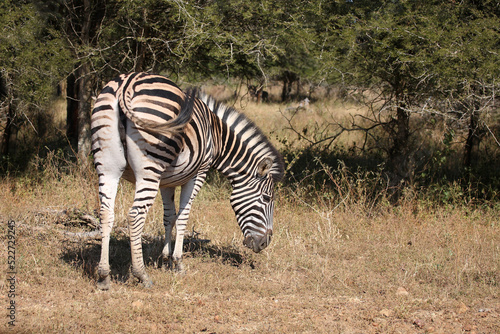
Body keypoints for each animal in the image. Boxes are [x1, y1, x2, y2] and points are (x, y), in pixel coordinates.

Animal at [91, 72, 284, 290]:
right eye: (267, 198)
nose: (264, 244)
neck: (218, 138)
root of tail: (127, 83)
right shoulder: (199, 172)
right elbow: (183, 216)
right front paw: (178, 263)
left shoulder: (166, 180)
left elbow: (169, 216)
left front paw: (165, 258)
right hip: (150, 167)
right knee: (135, 215)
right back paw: (141, 274)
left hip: (108, 165)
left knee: (106, 213)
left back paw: (104, 275)